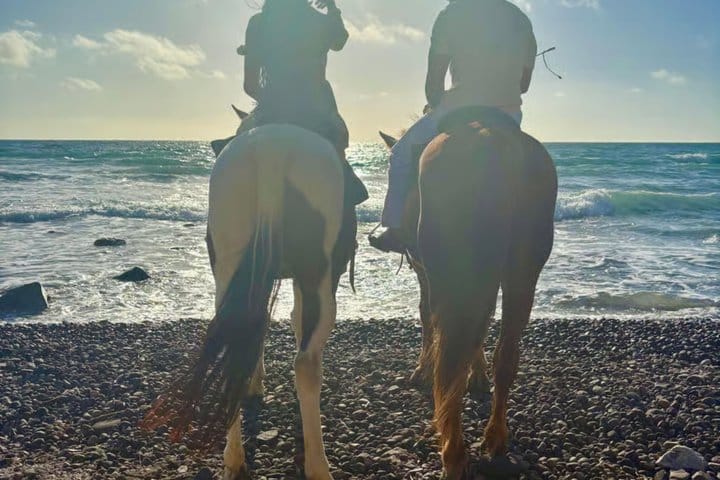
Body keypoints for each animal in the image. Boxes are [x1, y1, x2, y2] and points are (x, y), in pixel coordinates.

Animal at [142, 106, 358, 480]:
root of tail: (273, 150)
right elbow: (293, 322)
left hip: (229, 266)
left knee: (236, 340)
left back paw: (233, 458)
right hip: (319, 275)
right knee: (306, 364)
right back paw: (317, 465)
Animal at [380, 107, 557, 478]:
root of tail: (493, 141)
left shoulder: (424, 272)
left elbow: (425, 317)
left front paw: (421, 370)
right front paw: (479, 375)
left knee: (450, 366)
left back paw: (453, 454)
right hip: (522, 271)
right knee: (505, 354)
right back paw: (495, 438)